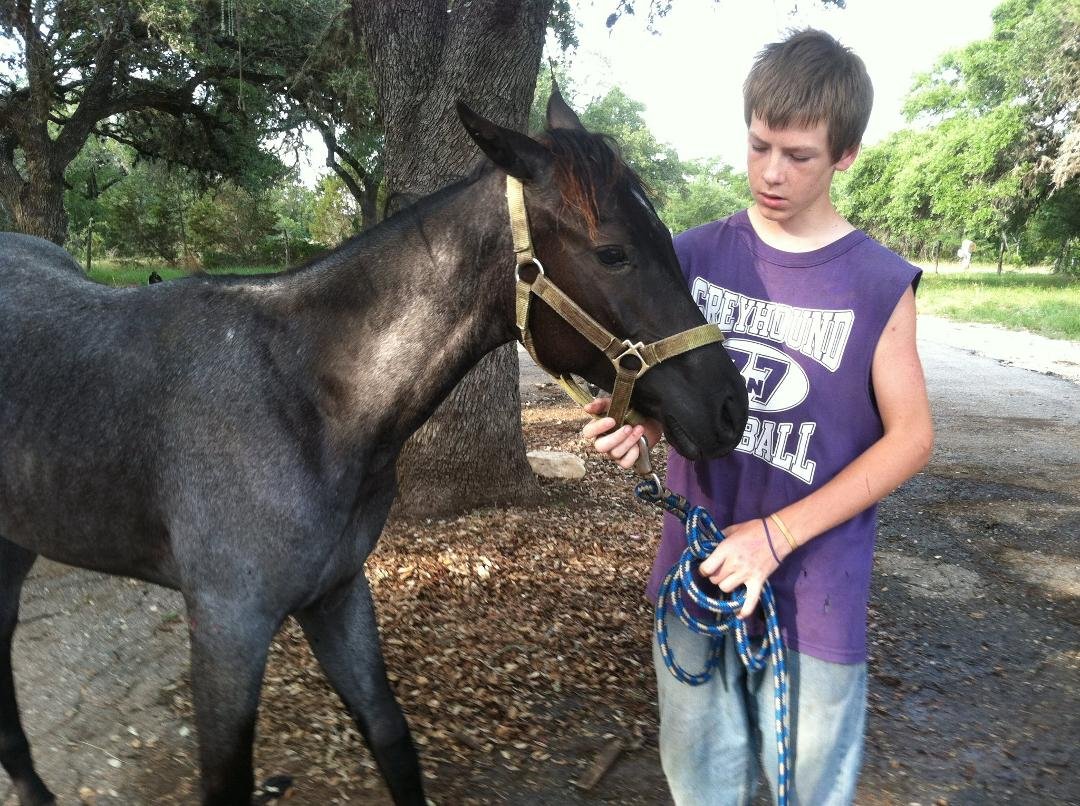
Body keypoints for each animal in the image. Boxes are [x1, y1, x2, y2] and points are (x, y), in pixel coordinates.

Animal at [0, 91, 749, 805]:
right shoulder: (227, 625)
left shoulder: (337, 594)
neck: (303, 395)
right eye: (612, 252)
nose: (728, 407)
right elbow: (226, 782)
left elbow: (390, 735)